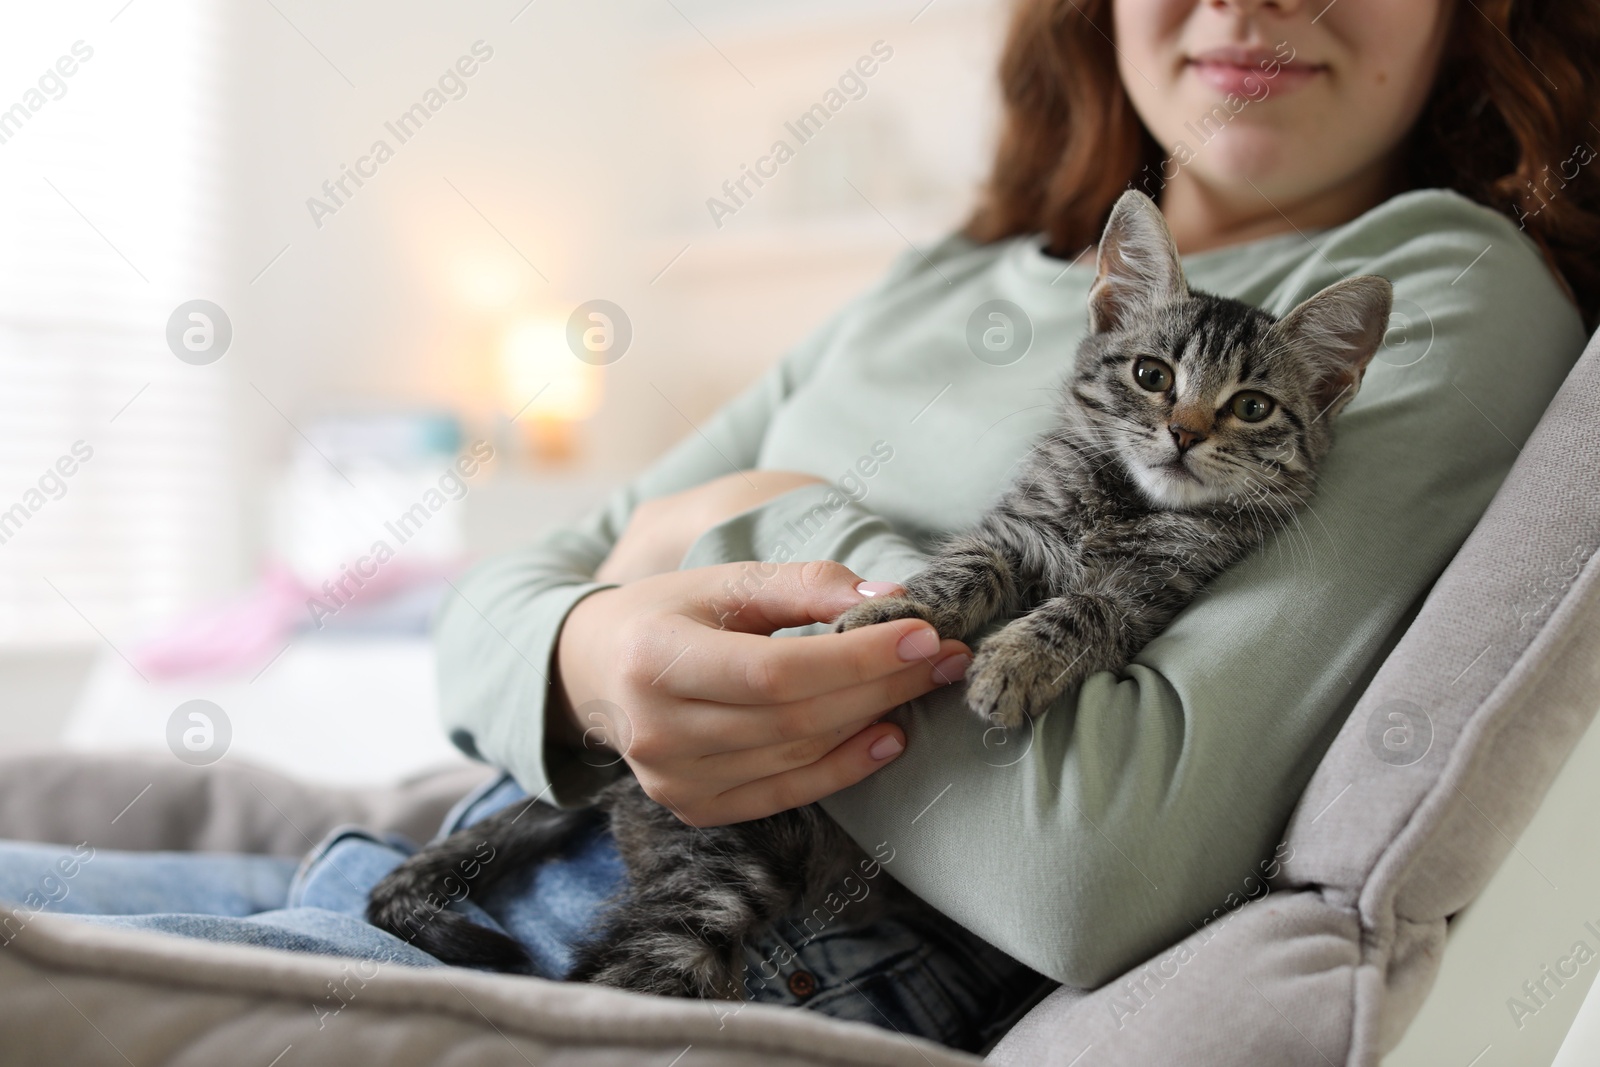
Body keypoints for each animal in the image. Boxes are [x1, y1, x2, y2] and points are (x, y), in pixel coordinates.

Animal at [368, 189, 1395, 1004]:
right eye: (1152, 376)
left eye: (1252, 406)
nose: (1183, 432)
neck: (1124, 501)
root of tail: (619, 776)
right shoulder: (1013, 529)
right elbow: (962, 570)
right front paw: (886, 612)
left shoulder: (1157, 587)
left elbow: (1085, 610)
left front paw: (1014, 663)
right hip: (719, 858)